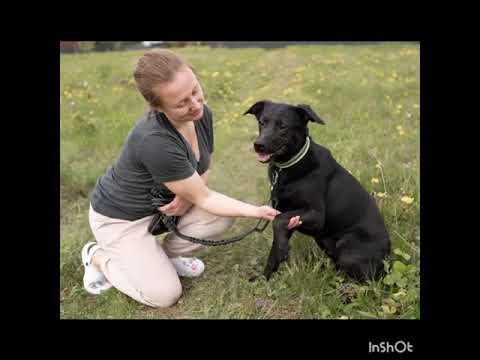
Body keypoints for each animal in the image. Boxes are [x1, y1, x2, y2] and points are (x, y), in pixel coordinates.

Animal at [244, 100, 390, 282]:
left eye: (282, 126)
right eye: (261, 123)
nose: (258, 145)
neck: (288, 166)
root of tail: (388, 257)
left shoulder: (316, 215)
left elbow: (278, 221)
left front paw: (282, 250)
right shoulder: (289, 216)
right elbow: (274, 249)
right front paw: (263, 278)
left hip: (347, 248)